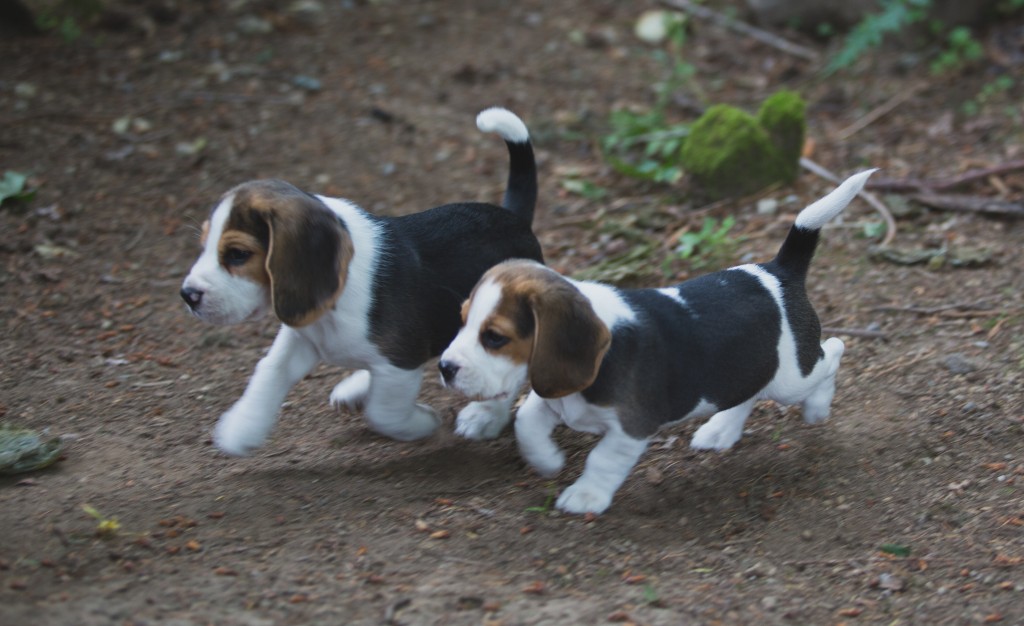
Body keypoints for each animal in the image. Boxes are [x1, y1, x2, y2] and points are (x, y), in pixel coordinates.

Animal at [180, 107, 544, 454]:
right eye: (203, 244)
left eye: (238, 254)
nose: (187, 295)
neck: (335, 300)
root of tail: (514, 216)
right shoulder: (302, 338)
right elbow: (269, 371)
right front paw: (242, 428)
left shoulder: (399, 362)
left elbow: (384, 412)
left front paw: (422, 423)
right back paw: (356, 386)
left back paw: (485, 417)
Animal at [436, 170, 876, 514]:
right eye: (461, 320)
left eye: (495, 337)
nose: (444, 368)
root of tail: (778, 272)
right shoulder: (555, 395)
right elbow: (526, 423)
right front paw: (546, 461)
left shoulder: (631, 428)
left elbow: (602, 459)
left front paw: (585, 495)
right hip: (748, 367)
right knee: (748, 391)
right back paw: (720, 430)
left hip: (793, 377)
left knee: (835, 351)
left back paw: (817, 407)